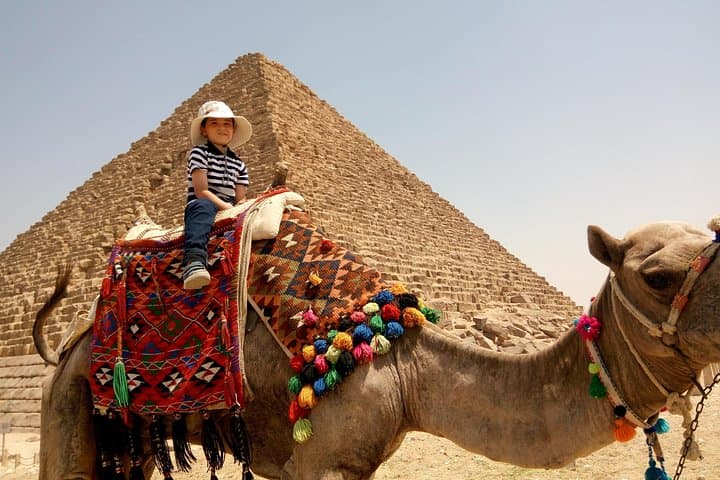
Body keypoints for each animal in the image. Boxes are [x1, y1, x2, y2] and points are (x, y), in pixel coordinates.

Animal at [33, 212, 720, 480]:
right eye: (658, 276)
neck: (404, 367)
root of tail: (69, 342)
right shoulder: (322, 461)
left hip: (128, 435)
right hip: (66, 403)